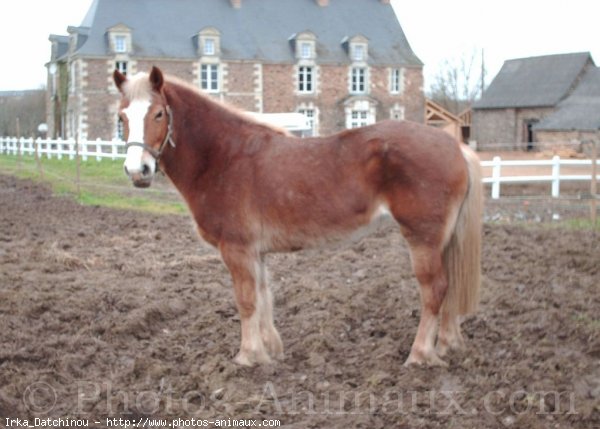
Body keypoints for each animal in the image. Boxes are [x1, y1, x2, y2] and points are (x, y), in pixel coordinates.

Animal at [115, 67, 486, 368]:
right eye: (122, 118)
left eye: (158, 113)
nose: (137, 171)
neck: (224, 156)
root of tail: (454, 146)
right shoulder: (255, 252)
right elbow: (263, 297)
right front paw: (270, 351)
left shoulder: (236, 249)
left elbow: (246, 301)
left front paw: (247, 357)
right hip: (443, 241)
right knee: (450, 286)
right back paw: (448, 345)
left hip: (422, 239)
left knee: (434, 290)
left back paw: (420, 355)